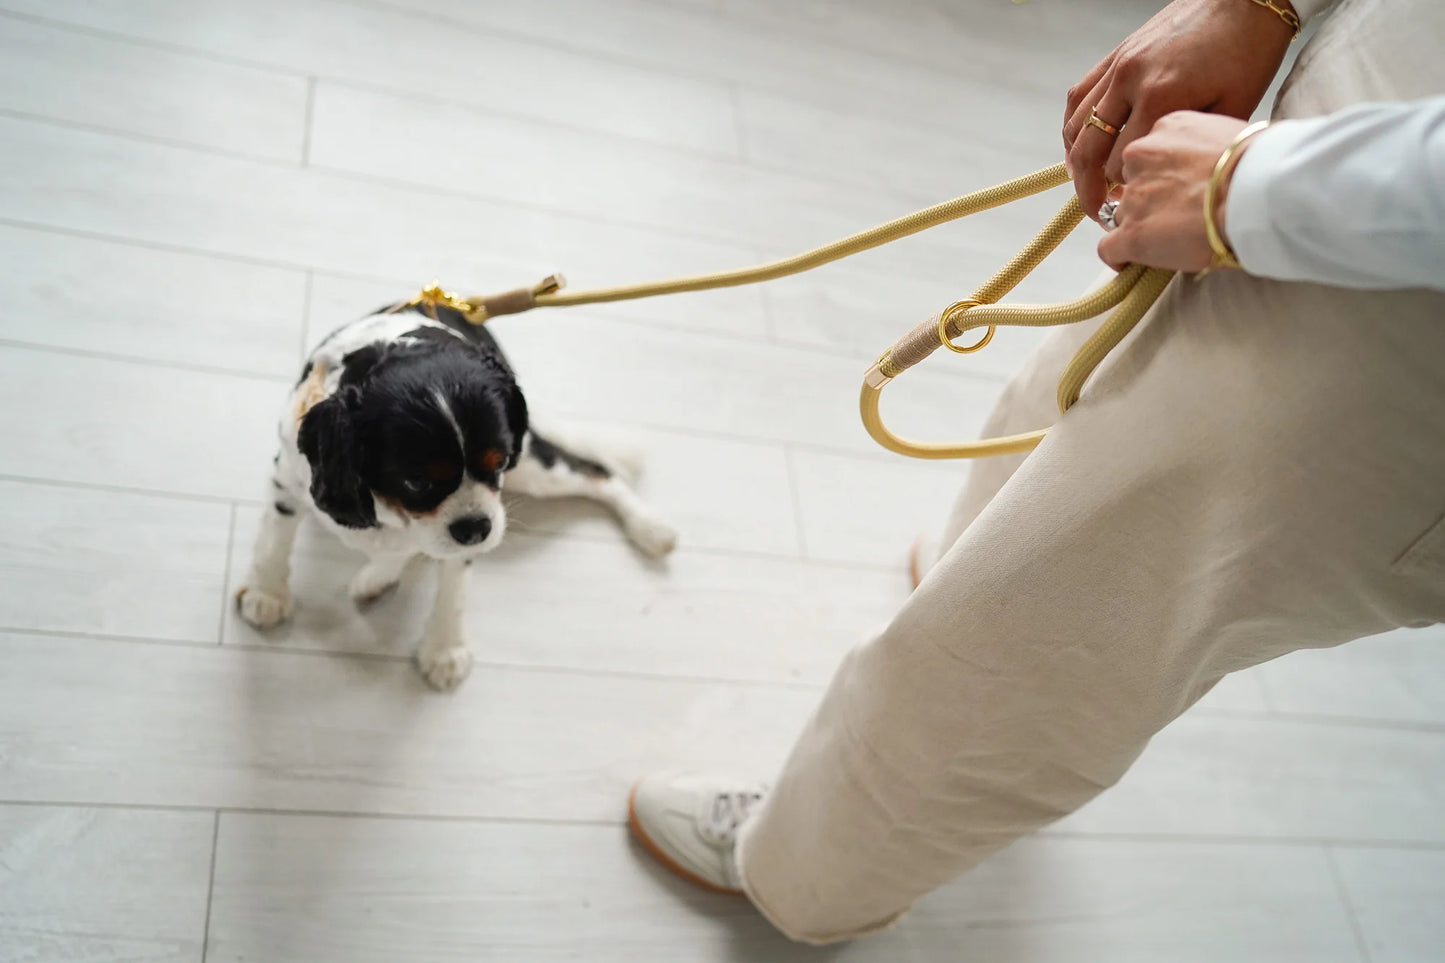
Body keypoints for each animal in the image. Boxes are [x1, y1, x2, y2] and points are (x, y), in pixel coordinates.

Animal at [236, 296, 676, 685]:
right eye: (416, 481)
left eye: (498, 462)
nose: (476, 529)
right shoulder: (291, 473)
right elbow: (275, 538)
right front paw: (267, 594)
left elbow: (452, 587)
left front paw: (444, 649)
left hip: (533, 468)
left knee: (596, 472)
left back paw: (651, 530)